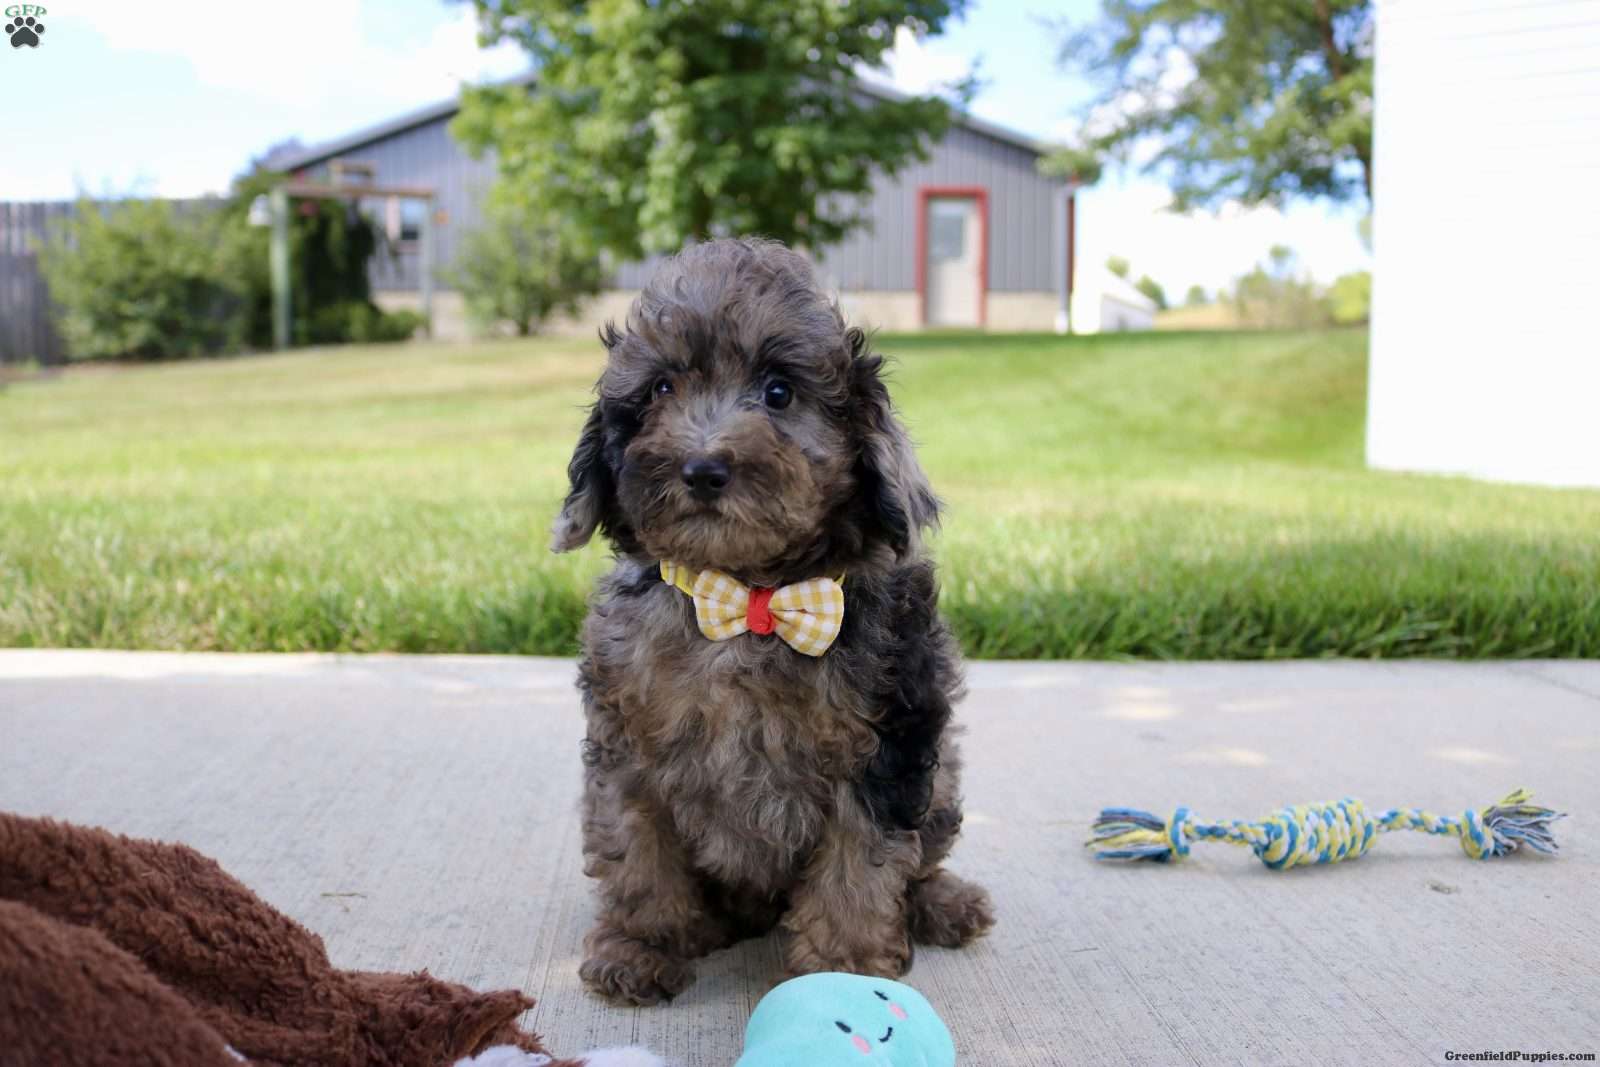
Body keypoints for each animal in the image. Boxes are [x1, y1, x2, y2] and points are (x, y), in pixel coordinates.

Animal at [552, 238, 994, 1006]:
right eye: (660, 390)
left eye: (779, 392)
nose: (703, 468)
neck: (746, 599)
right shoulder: (625, 740)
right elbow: (637, 847)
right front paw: (642, 945)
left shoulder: (886, 746)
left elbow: (860, 867)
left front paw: (843, 972)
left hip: (939, 781)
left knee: (923, 858)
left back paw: (943, 903)